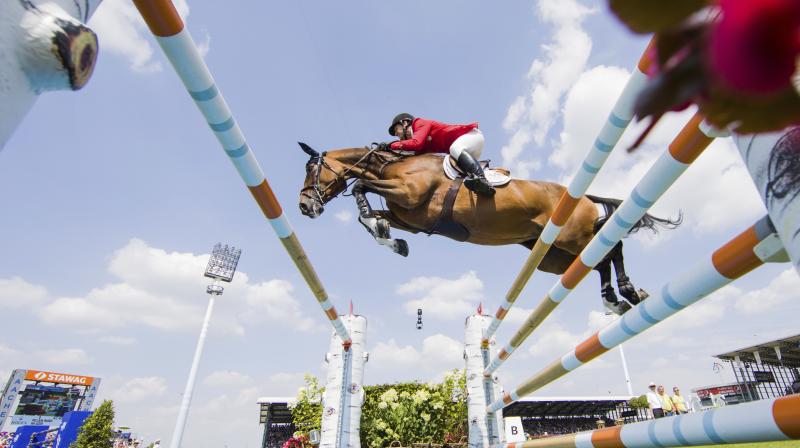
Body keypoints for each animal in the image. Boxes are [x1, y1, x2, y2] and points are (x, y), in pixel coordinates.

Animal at [297, 143, 680, 313]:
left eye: (311, 170)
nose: (304, 206)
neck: (391, 166)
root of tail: (583, 196)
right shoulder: (412, 218)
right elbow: (371, 213)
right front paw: (389, 238)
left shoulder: (409, 194)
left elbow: (362, 186)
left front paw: (381, 230)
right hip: (552, 255)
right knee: (596, 262)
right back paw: (614, 299)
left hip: (572, 235)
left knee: (612, 249)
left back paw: (628, 292)